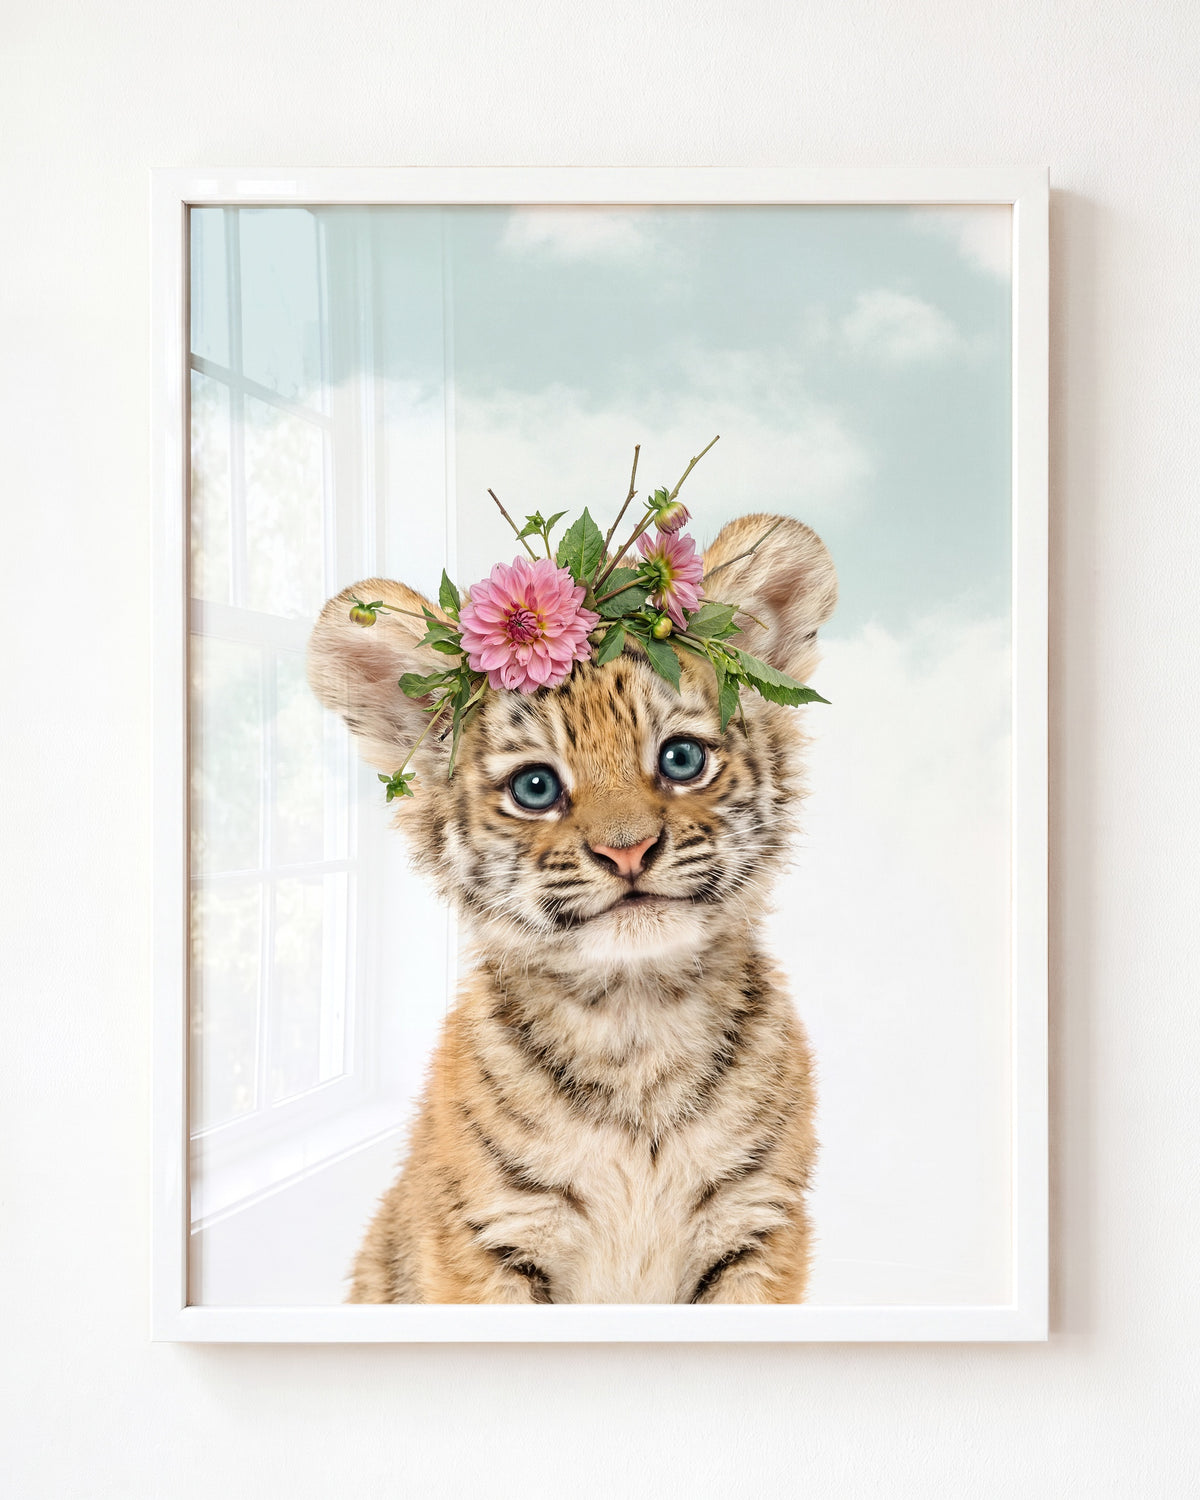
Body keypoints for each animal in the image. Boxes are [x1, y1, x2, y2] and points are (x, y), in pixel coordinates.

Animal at [307, 512, 837, 1304]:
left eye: (682, 759)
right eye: (535, 787)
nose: (628, 851)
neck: (636, 1022)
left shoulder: (757, 1226)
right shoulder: (488, 1237)